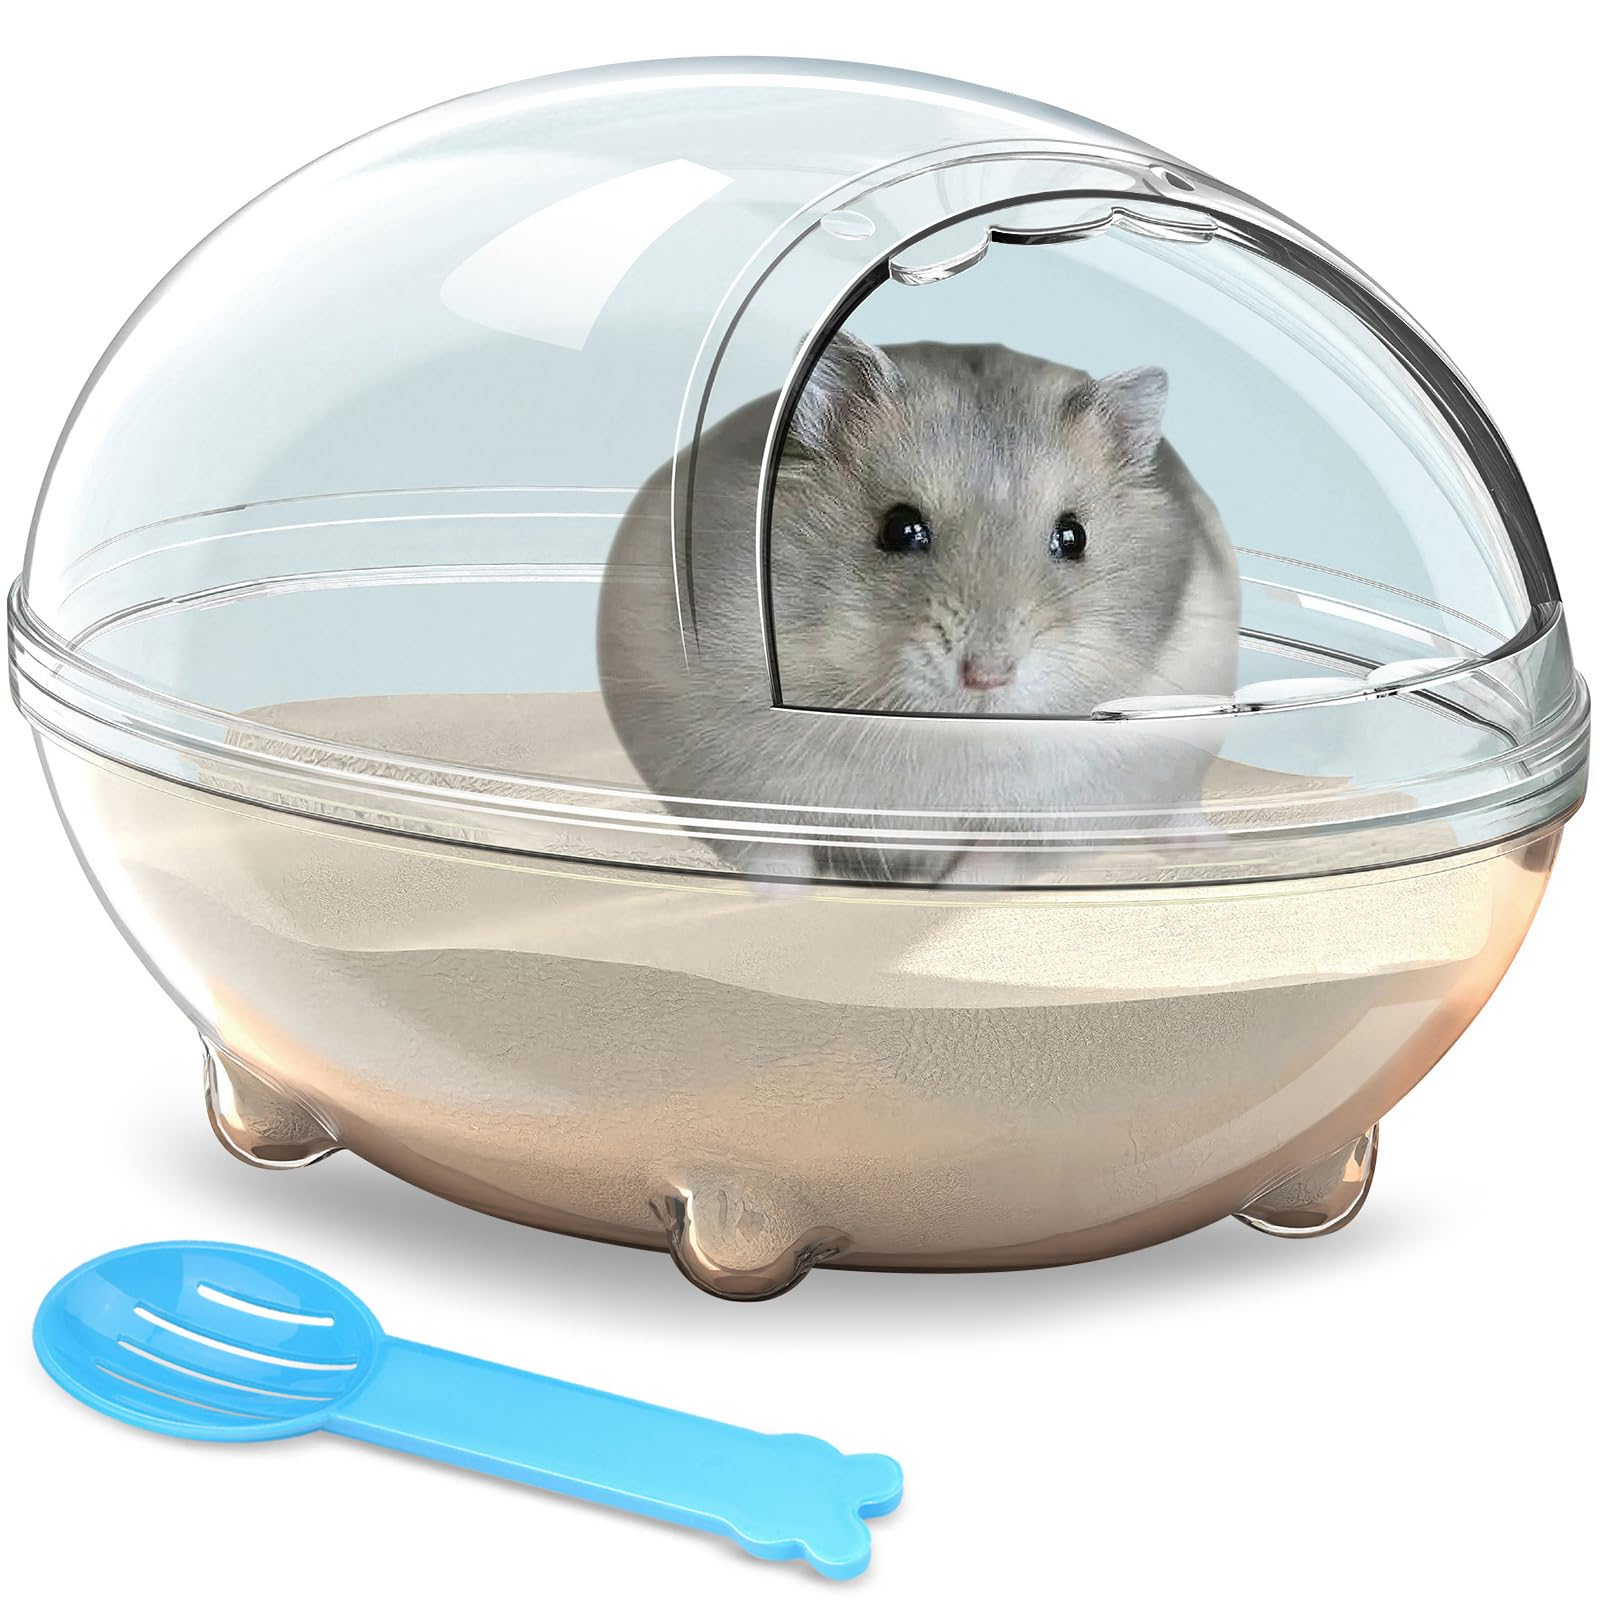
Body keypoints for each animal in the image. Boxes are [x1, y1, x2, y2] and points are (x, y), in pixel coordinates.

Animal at [598, 335, 1240, 884]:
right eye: (900, 529)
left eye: (1074, 536)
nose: (987, 677)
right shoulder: (728, 786)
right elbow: (774, 859)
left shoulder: (1056, 820)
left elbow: (986, 869)